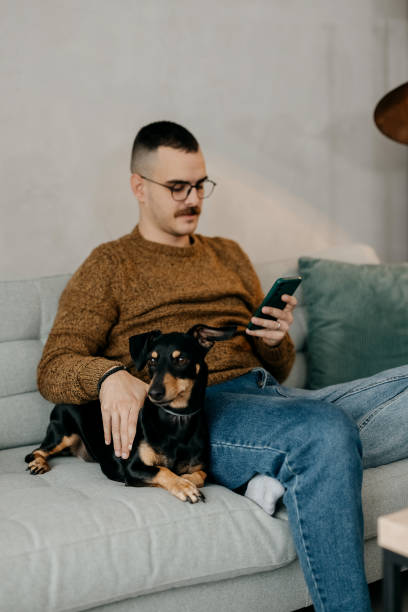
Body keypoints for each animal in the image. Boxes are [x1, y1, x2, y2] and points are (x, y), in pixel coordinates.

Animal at [25, 322, 236, 504]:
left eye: (181, 359)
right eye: (152, 360)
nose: (154, 393)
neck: (176, 420)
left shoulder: (201, 467)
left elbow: (200, 475)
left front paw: (187, 480)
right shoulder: (132, 469)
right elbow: (162, 470)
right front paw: (183, 486)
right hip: (62, 435)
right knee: (36, 451)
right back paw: (39, 464)